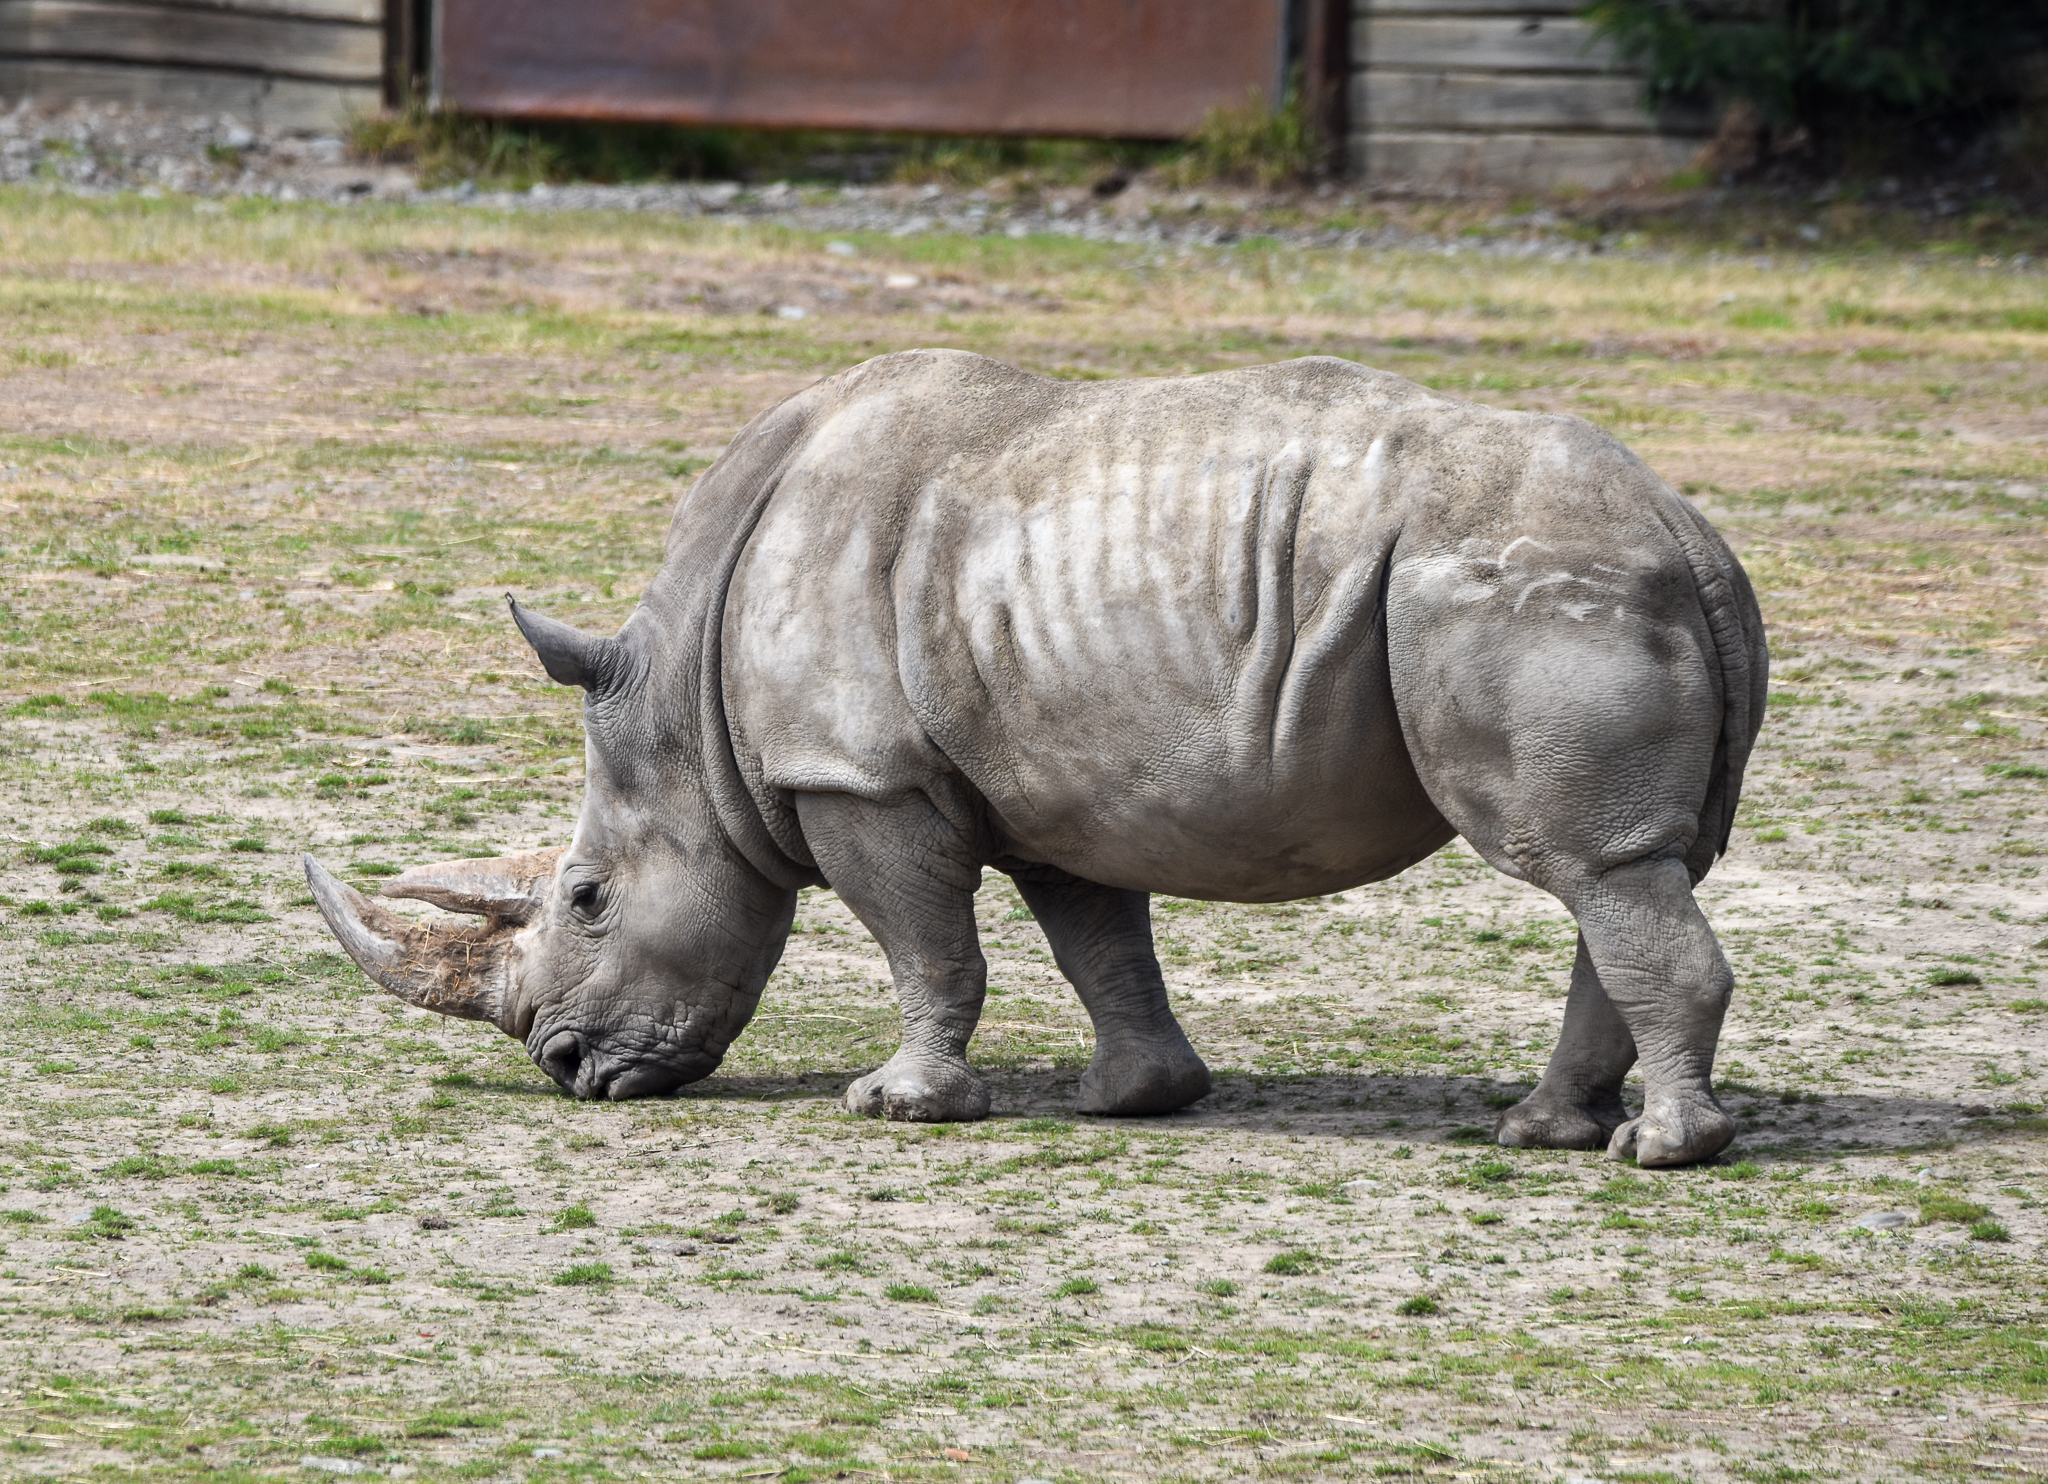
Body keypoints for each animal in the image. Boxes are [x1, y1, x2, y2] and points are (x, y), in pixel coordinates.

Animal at [305, 350, 1766, 1168]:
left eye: (588, 899)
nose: (566, 1069)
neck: (686, 711)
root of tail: (1690, 529)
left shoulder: (857, 775)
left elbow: (927, 943)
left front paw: (896, 1107)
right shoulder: (1065, 781)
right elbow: (1098, 940)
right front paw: (1128, 1099)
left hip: (1530, 583)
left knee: (1586, 865)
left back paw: (1656, 1156)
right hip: (1573, 577)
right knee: (1614, 869)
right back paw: (1547, 1130)